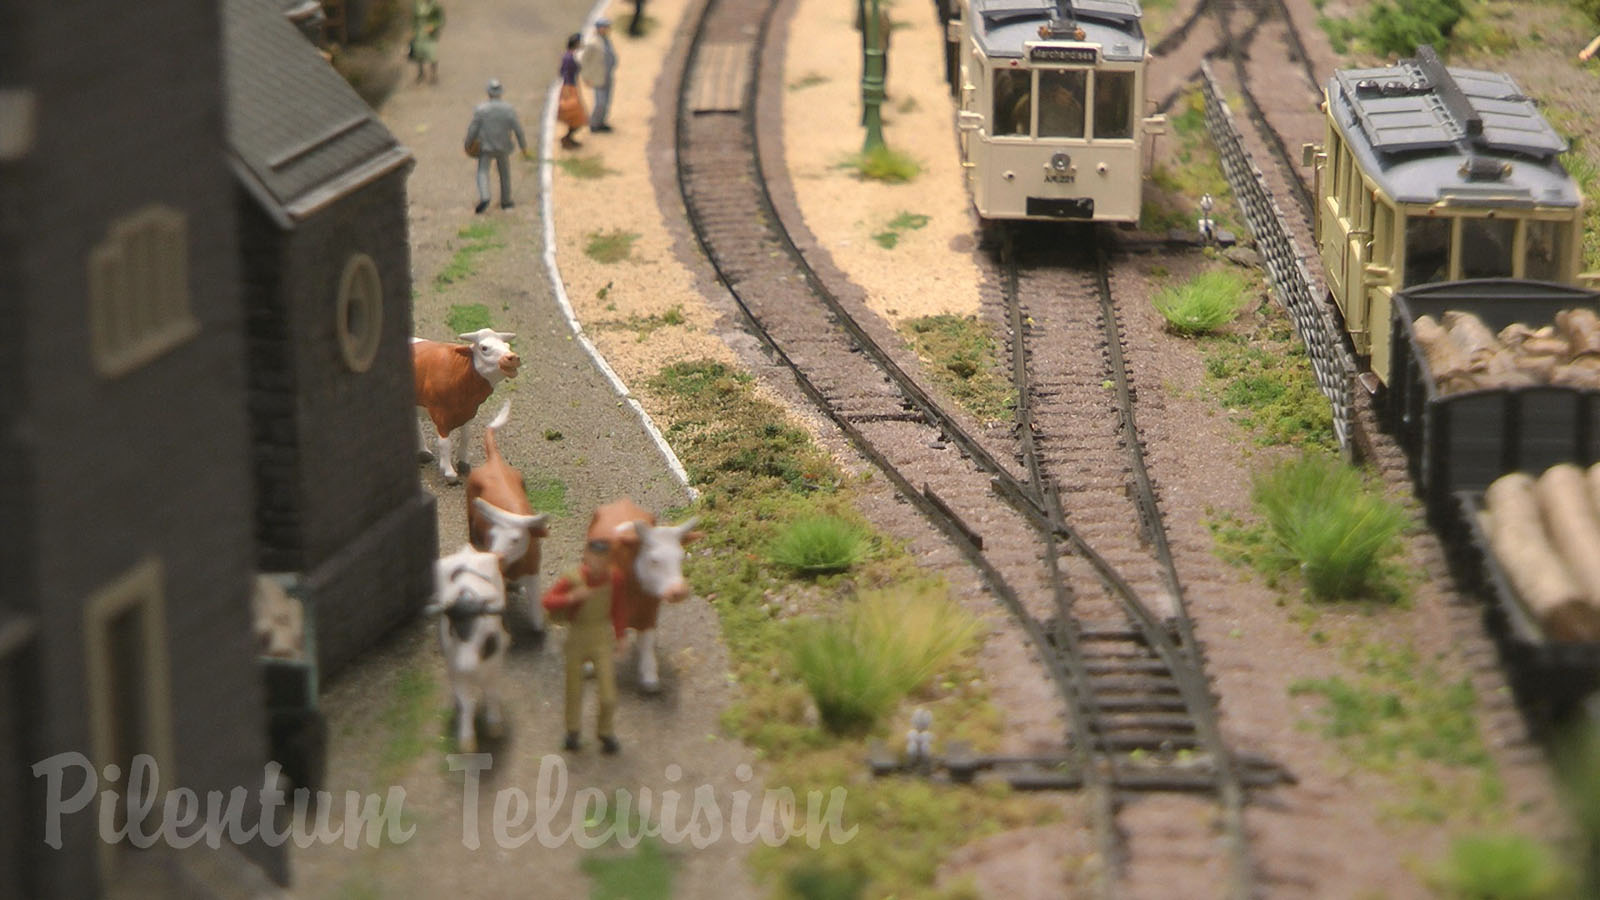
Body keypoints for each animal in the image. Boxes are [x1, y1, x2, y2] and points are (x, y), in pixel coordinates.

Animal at [412, 328, 518, 480]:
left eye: (507, 346)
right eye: (484, 348)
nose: (513, 357)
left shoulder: (470, 411)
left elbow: (466, 436)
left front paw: (463, 462)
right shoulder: (440, 414)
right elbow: (445, 443)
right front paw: (449, 471)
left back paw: (423, 452)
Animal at [425, 544, 505, 752]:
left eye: (481, 629)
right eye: (453, 627)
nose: (466, 665)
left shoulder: (495, 666)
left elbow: (492, 693)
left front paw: (494, 725)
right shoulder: (456, 672)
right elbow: (467, 703)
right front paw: (467, 740)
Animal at [467, 398, 553, 630]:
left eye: (515, 539)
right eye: (492, 535)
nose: (496, 557)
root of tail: (494, 461)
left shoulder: (534, 573)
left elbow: (537, 621)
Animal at [588, 493, 700, 688]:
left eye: (681, 557)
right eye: (654, 560)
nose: (678, 591)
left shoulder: (649, 612)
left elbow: (646, 642)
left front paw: (649, 675)